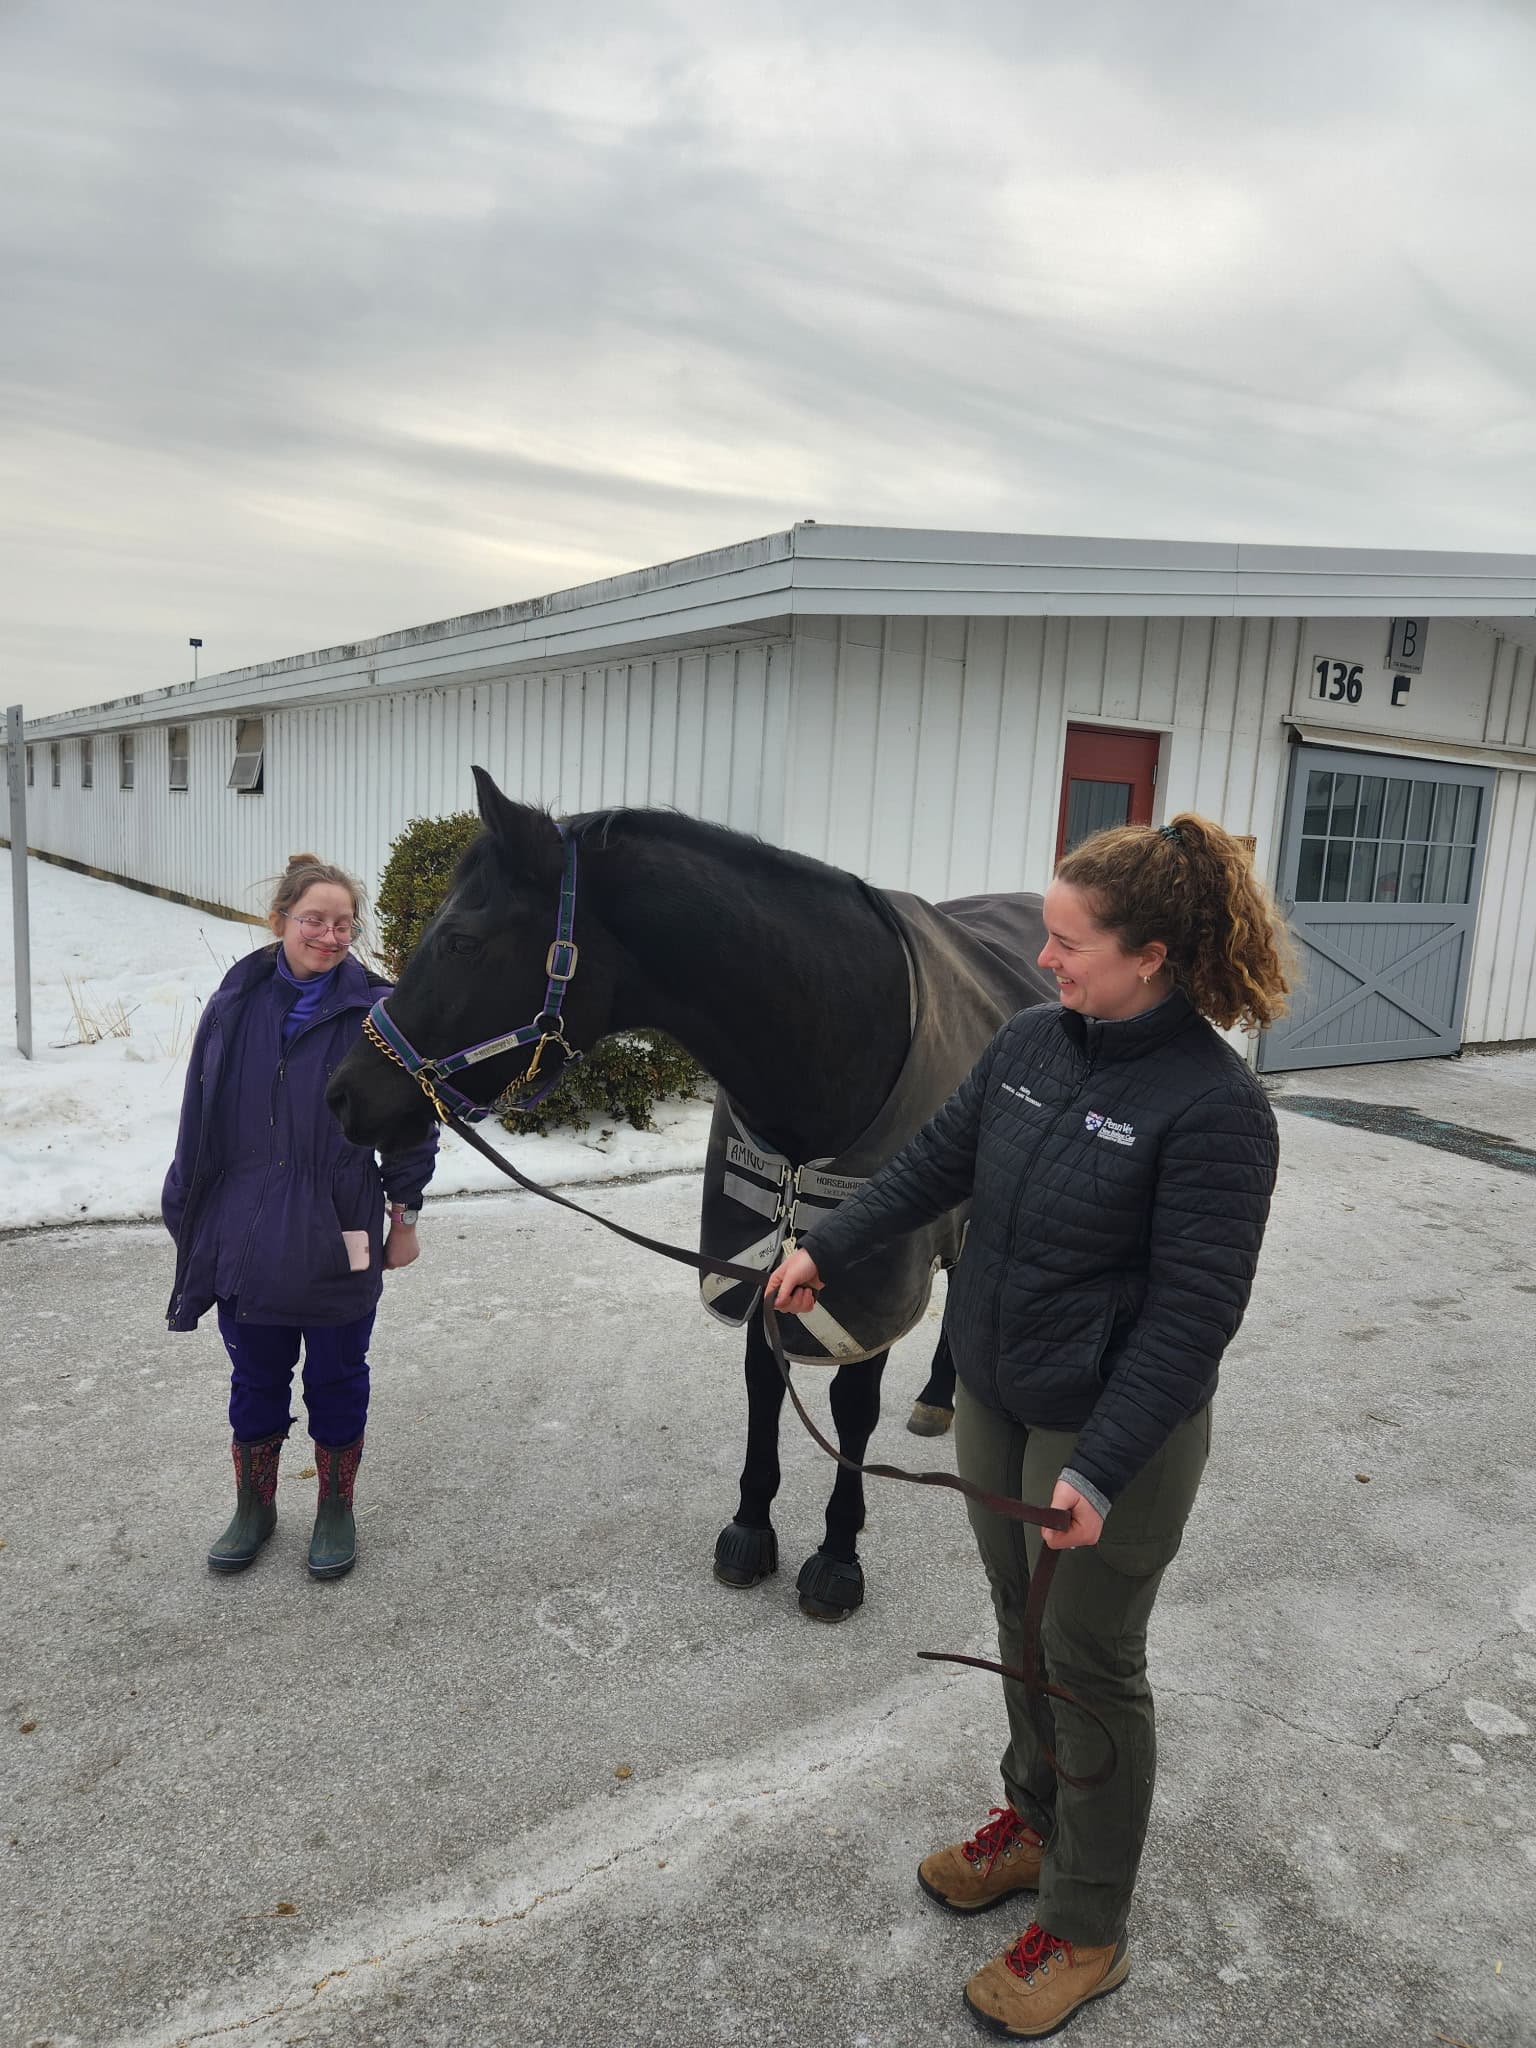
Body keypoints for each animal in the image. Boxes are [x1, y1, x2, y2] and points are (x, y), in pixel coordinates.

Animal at [328, 768, 1051, 1620]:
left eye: (460, 941)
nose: (345, 1095)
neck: (842, 1028)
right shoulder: (756, 1251)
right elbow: (763, 1380)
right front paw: (750, 1525)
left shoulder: (867, 1269)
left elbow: (851, 1407)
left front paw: (838, 1555)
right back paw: (940, 1395)